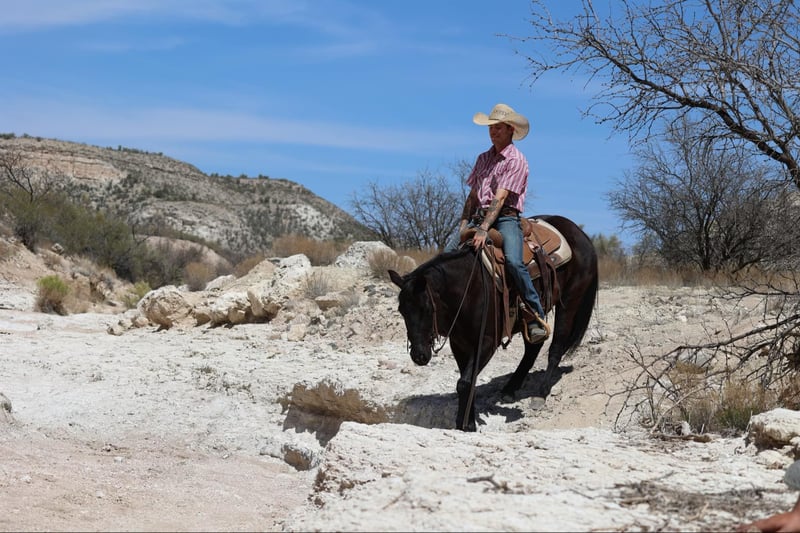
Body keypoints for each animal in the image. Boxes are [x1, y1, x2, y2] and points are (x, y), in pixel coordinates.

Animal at [388, 214, 598, 431]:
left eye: (428, 309)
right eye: (402, 311)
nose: (419, 356)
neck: (469, 286)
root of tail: (580, 234)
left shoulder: (487, 342)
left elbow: (465, 382)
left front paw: (467, 425)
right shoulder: (459, 344)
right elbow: (466, 380)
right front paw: (466, 422)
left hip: (570, 301)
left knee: (556, 347)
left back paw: (540, 394)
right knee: (533, 347)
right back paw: (510, 388)